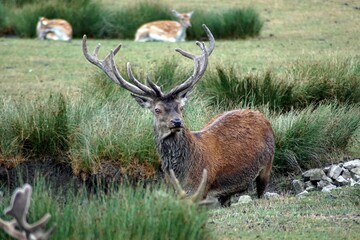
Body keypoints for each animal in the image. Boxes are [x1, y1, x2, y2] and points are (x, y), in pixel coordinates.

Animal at [83, 25, 274, 207]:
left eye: (181, 107)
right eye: (157, 109)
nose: (177, 122)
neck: (182, 173)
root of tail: (259, 114)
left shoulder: (200, 189)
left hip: (267, 165)